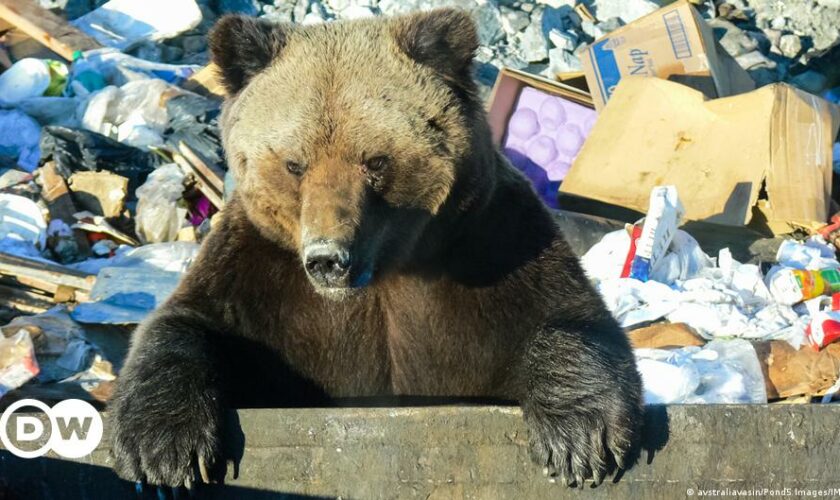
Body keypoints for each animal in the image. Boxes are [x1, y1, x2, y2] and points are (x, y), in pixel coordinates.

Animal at [106, 7, 644, 490]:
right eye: (294, 163)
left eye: (376, 160)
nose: (328, 259)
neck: (383, 278)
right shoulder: (262, 275)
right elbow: (189, 326)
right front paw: (163, 448)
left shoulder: (489, 243)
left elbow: (568, 317)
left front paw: (578, 438)